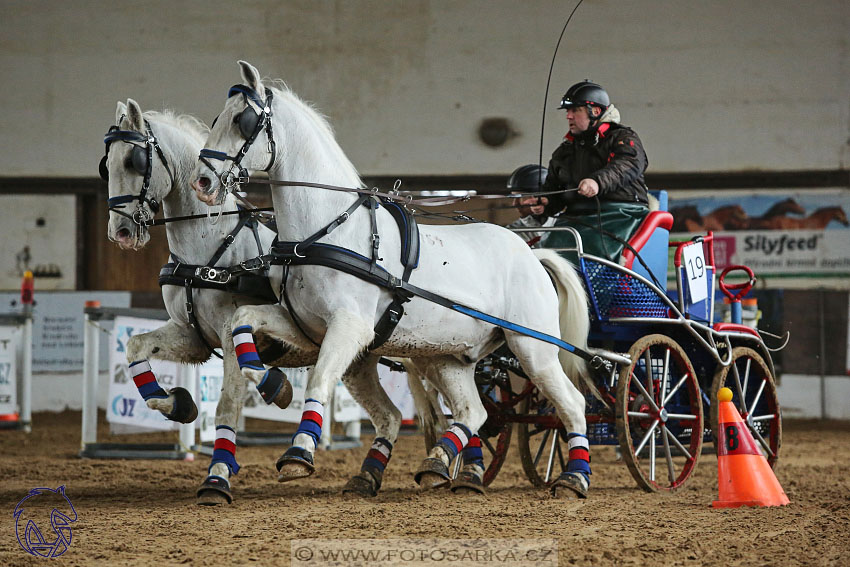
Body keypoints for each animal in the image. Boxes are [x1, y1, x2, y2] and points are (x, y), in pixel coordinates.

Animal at [191, 61, 588, 496]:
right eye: (217, 118)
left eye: (242, 121)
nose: (202, 183)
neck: (324, 232)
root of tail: (533, 255)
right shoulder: (307, 328)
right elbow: (243, 319)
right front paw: (270, 383)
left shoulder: (351, 327)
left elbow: (320, 381)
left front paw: (298, 453)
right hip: (448, 357)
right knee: (473, 411)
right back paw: (437, 464)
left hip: (534, 349)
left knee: (573, 405)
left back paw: (573, 477)